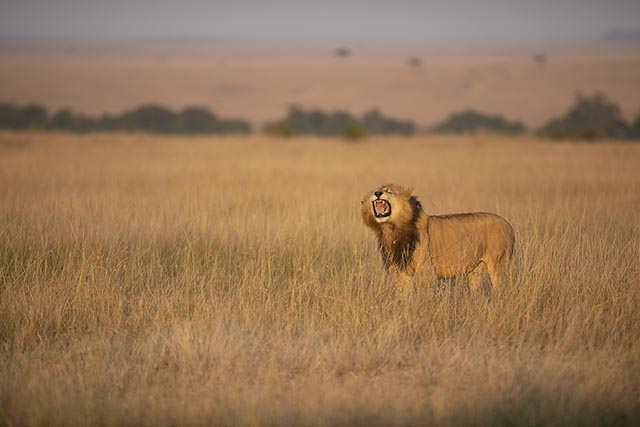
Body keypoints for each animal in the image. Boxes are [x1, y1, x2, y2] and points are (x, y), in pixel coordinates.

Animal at [361, 184, 515, 292]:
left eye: (389, 191)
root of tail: (508, 225)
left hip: (499, 264)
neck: (392, 229)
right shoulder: (400, 272)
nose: (377, 193)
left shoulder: (425, 271)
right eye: (376, 190)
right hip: (476, 271)